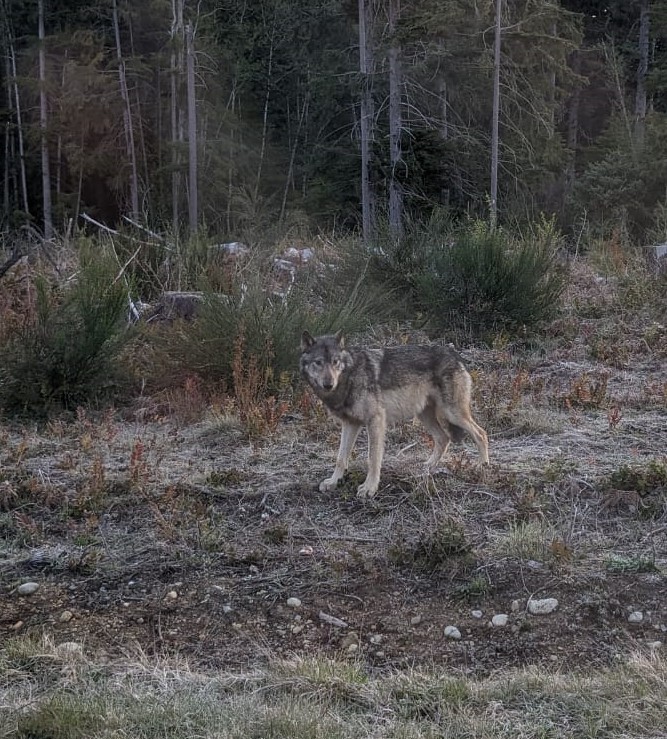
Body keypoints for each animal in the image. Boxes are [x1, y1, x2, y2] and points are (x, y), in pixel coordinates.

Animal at [300, 334, 488, 498]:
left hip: (453, 414)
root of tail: (454, 354)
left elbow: (373, 458)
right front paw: (333, 482)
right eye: (318, 363)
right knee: (443, 438)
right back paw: (427, 467)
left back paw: (482, 466)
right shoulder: (350, 424)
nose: (328, 384)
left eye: (335, 362)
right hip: (425, 415)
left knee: (481, 433)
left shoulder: (376, 420)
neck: (350, 375)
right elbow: (341, 458)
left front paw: (369, 488)